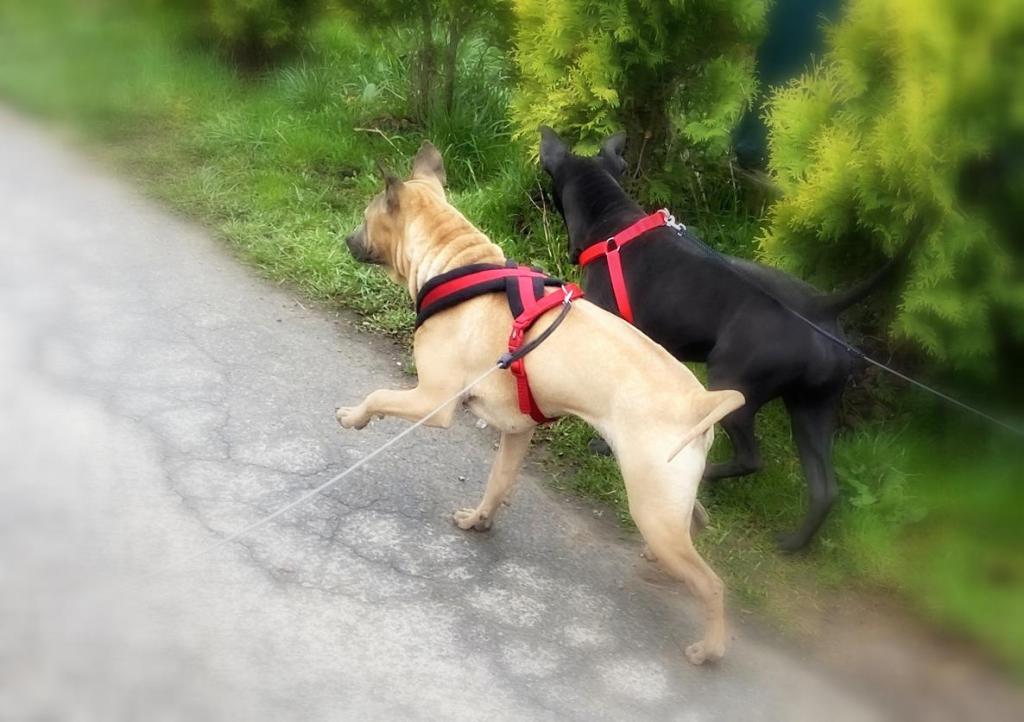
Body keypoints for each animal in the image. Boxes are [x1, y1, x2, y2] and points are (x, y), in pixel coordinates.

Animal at [337, 141, 745, 664]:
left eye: (366, 217)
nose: (348, 240)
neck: (455, 259)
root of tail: (701, 400)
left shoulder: (431, 401)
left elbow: (378, 396)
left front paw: (354, 417)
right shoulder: (517, 431)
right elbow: (498, 482)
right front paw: (480, 519)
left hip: (651, 503)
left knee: (712, 584)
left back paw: (709, 646)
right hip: (669, 496)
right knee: (697, 521)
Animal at [540, 127, 903, 551]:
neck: (611, 220)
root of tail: (821, 309)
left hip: (734, 384)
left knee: (751, 458)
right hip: (812, 407)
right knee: (824, 488)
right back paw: (793, 543)